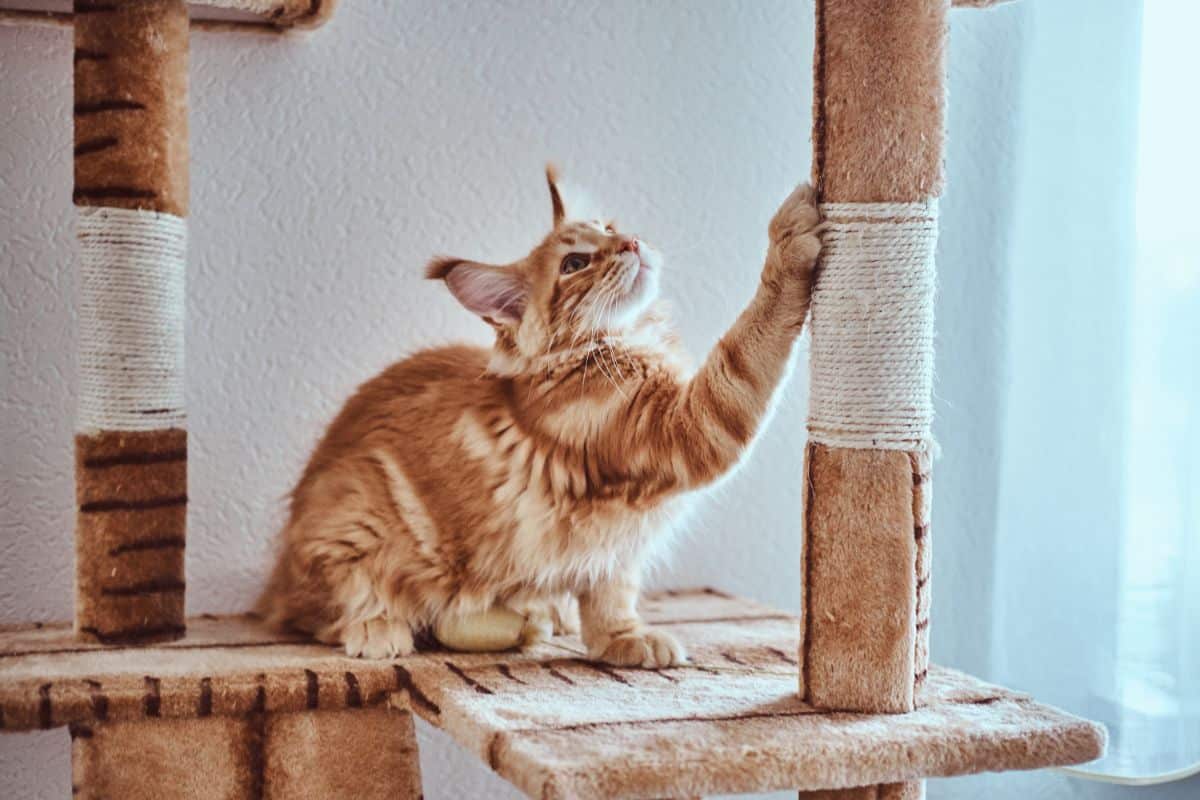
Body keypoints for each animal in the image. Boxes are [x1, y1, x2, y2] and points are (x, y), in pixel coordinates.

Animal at [260, 165, 825, 666]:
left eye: (609, 228)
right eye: (575, 264)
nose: (630, 243)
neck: (612, 345)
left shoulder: (616, 544)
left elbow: (610, 595)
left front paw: (622, 639)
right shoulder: (686, 426)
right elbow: (751, 343)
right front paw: (789, 240)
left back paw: (547, 613)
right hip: (355, 522)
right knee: (321, 611)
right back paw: (377, 625)